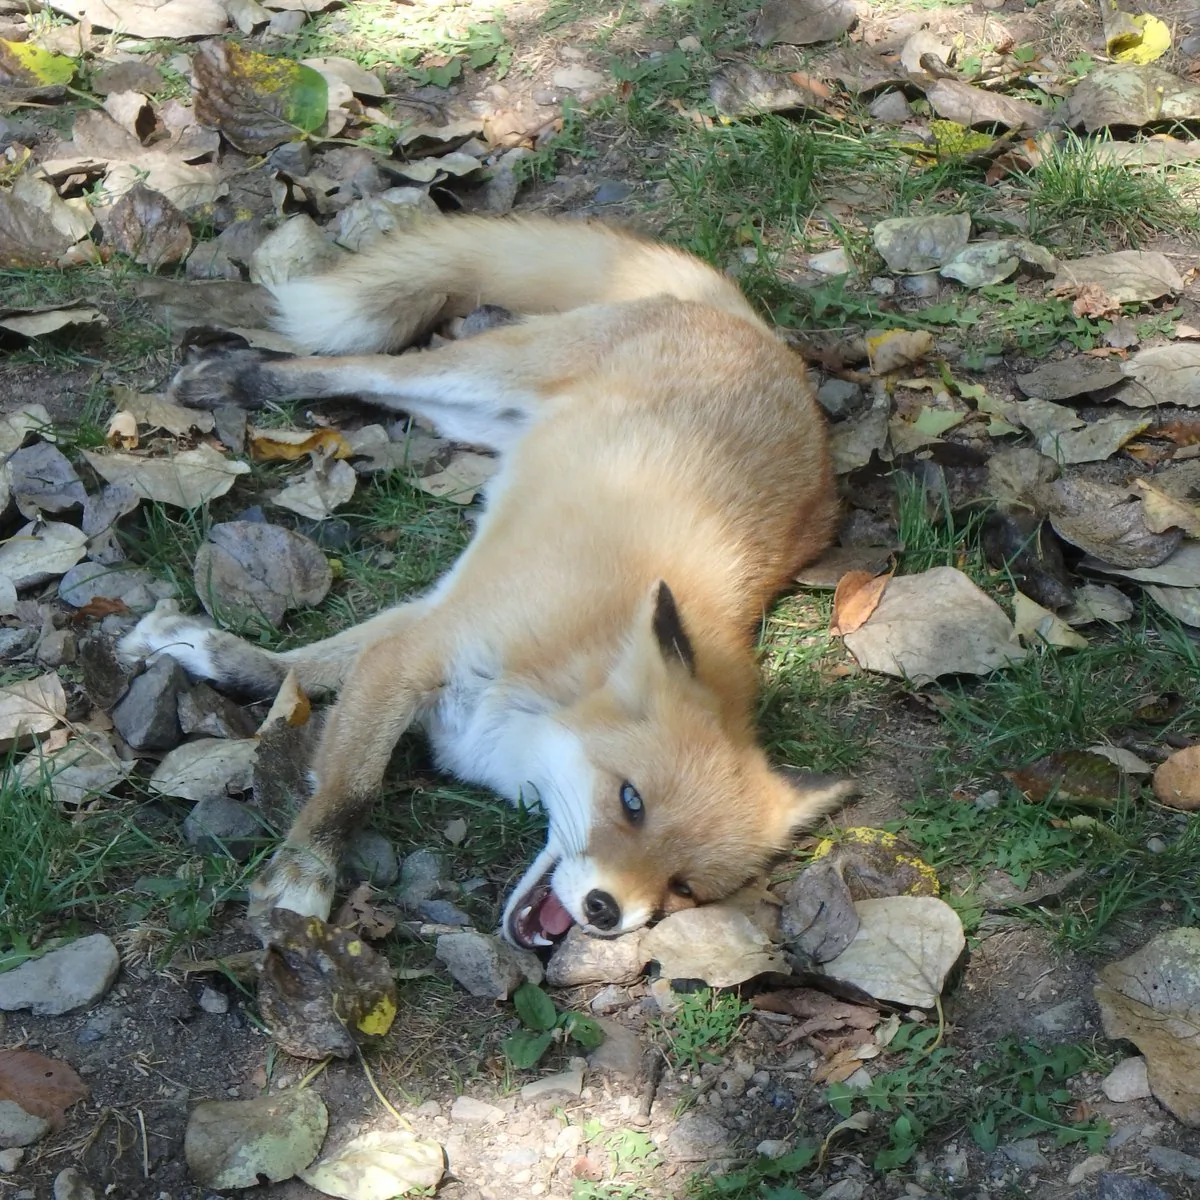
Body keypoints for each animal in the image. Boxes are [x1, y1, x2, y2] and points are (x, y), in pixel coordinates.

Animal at [119, 214, 853, 949]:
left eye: (684, 889)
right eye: (631, 801)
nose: (606, 912)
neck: (561, 687)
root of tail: (772, 347)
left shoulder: (427, 620)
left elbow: (296, 670)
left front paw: (200, 649)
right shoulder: (423, 650)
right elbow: (351, 785)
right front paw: (304, 878)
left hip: (471, 421)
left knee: (383, 390)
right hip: (480, 376)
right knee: (358, 367)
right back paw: (232, 375)